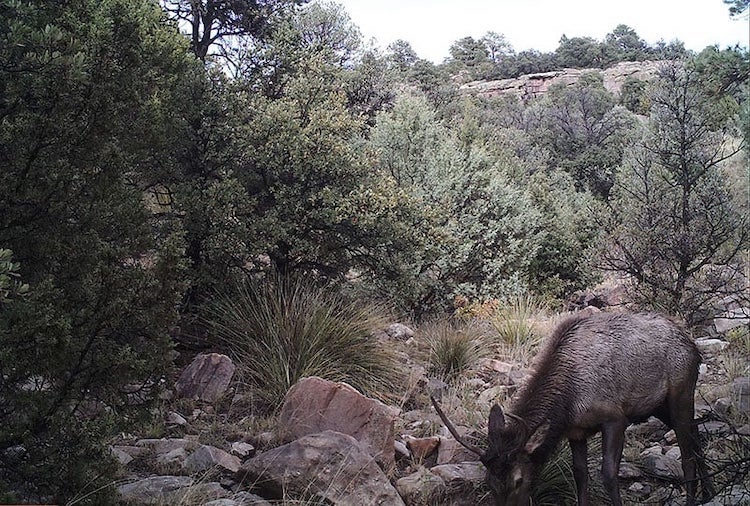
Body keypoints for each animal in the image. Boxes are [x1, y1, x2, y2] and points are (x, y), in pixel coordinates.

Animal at [432, 311, 715, 506]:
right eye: (488, 482)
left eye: (518, 480)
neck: (568, 405)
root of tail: (694, 347)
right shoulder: (577, 432)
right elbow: (580, 474)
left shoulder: (615, 417)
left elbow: (608, 473)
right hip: (658, 406)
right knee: (695, 435)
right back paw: (710, 493)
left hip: (681, 392)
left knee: (687, 450)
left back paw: (694, 499)